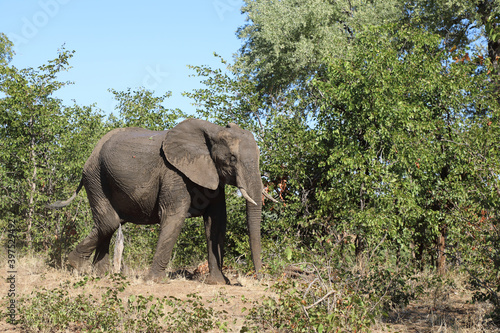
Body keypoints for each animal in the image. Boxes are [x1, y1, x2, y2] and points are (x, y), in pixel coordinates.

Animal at [48, 118, 268, 282]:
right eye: (232, 158)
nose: (259, 278)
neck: (213, 131)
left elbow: (217, 221)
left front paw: (218, 283)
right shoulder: (173, 172)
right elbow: (174, 216)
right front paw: (154, 281)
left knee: (110, 224)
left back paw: (100, 275)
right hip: (95, 178)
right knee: (109, 222)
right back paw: (75, 265)